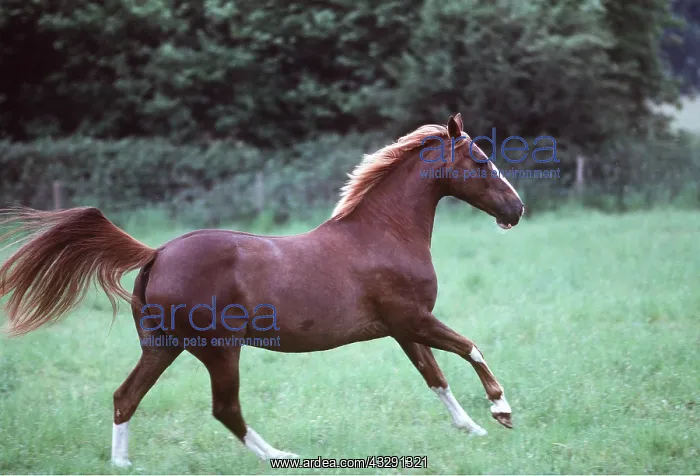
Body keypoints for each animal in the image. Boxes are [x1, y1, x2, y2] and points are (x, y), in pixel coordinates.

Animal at [0, 113, 524, 466]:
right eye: (481, 160)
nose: (516, 209)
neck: (383, 234)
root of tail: (157, 253)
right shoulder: (412, 318)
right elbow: (469, 348)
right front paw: (501, 411)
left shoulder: (402, 328)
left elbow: (435, 377)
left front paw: (472, 428)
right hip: (218, 349)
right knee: (225, 408)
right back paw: (281, 457)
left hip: (163, 346)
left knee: (125, 397)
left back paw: (124, 464)